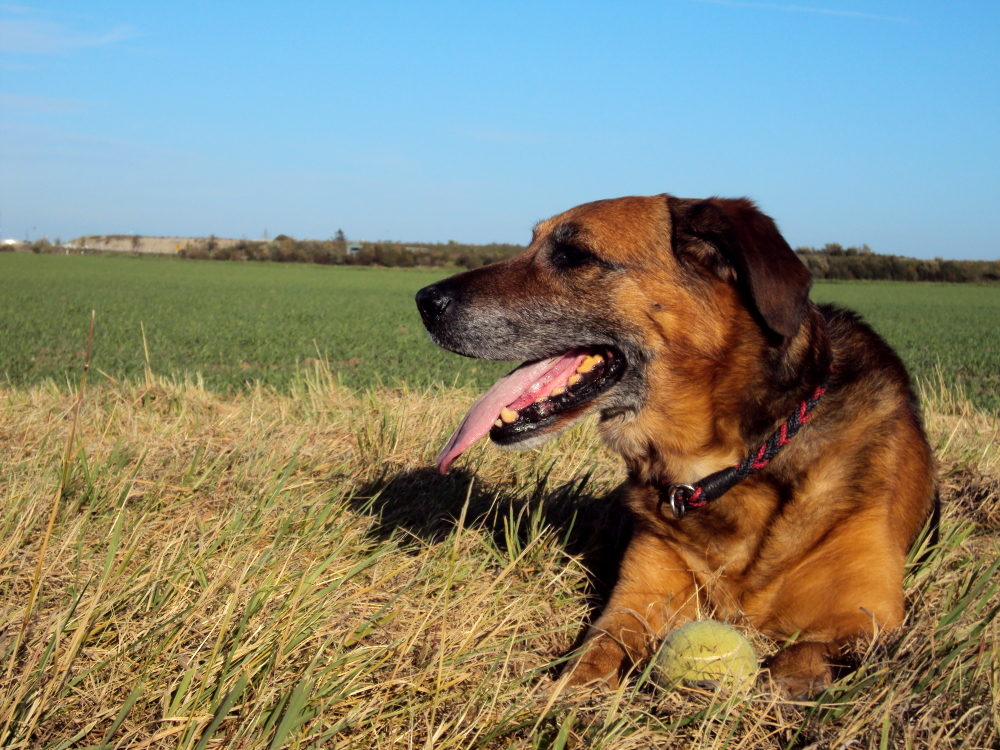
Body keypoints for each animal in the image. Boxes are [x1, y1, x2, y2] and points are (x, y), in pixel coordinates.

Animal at [414, 194, 936, 700]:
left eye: (573, 254)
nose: (422, 300)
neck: (724, 470)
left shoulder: (871, 616)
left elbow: (807, 650)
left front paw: (791, 679)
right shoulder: (634, 601)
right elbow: (591, 658)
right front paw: (564, 698)